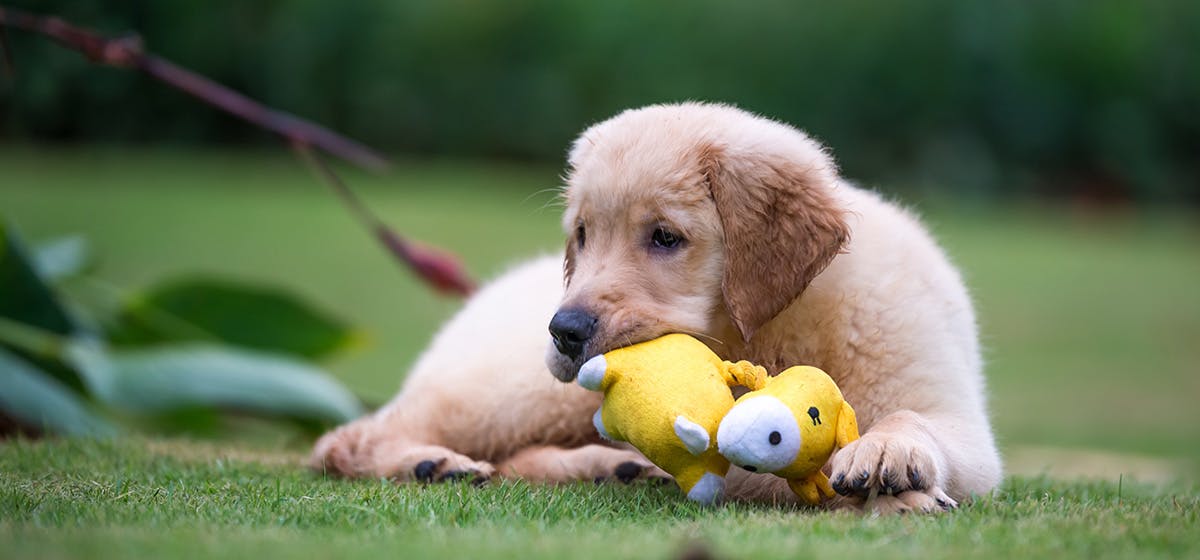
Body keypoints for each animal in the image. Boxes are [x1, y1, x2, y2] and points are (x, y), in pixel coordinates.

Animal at [312, 100, 1003, 513]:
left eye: (665, 237)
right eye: (583, 234)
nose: (563, 331)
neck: (773, 332)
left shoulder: (960, 422)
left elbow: (910, 421)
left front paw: (889, 459)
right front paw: (895, 495)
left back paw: (603, 468)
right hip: (516, 389)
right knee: (346, 439)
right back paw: (432, 465)